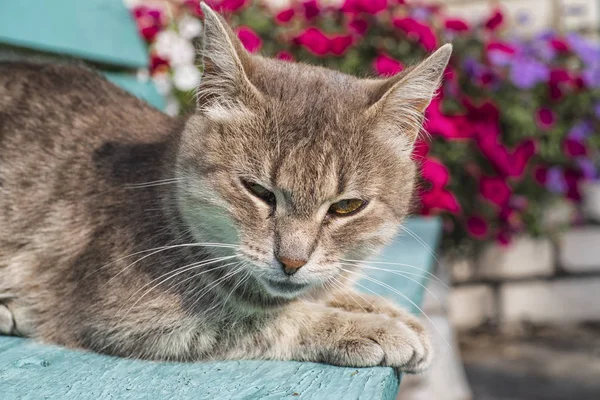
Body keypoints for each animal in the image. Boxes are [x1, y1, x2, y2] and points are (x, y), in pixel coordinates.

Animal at [0, 3, 450, 372]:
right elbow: (266, 320)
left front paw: (392, 313)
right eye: (258, 191)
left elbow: (322, 293)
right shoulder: (131, 316)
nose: (291, 262)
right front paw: (373, 328)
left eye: (346, 207)